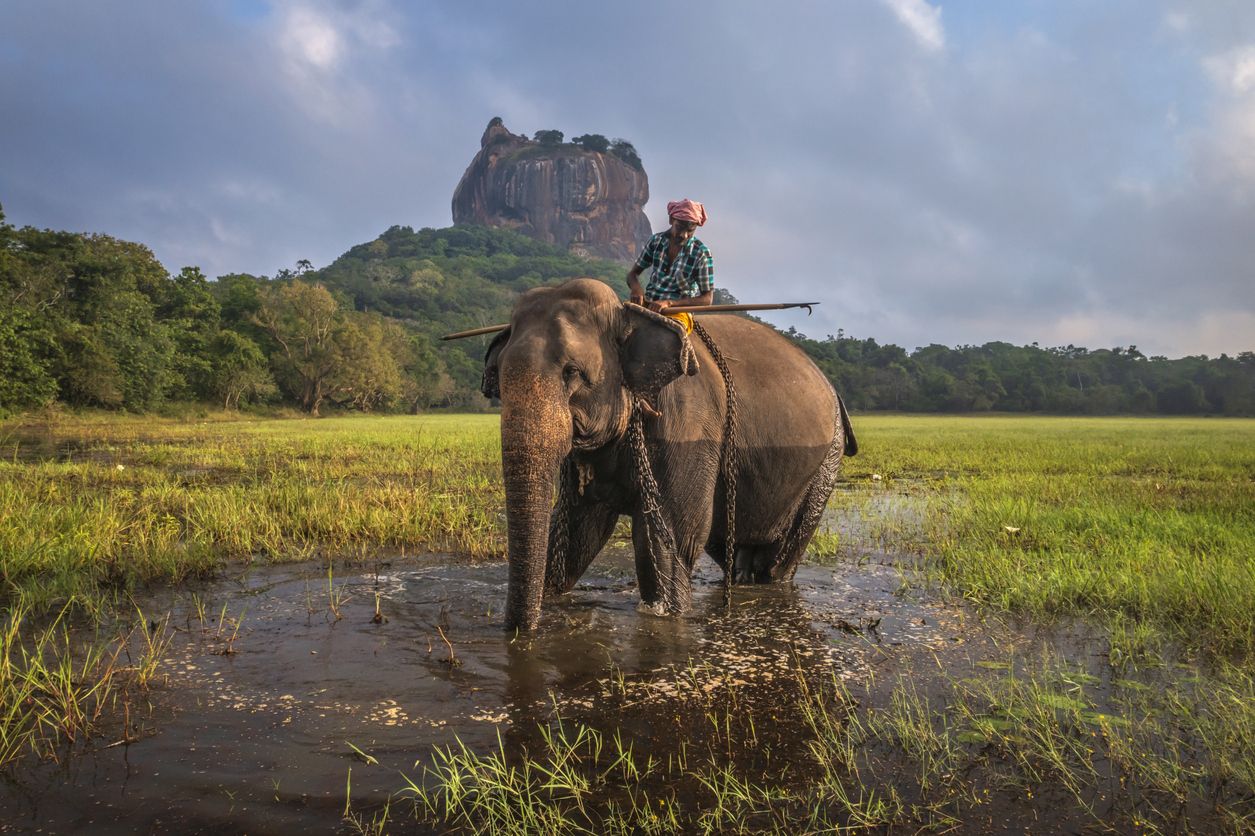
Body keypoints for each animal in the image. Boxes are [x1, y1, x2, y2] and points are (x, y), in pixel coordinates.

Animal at [481, 278, 857, 631]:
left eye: (572, 372)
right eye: (498, 375)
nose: (520, 631)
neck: (628, 316)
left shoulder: (687, 424)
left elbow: (668, 539)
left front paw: (666, 614)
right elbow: (578, 533)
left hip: (826, 462)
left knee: (777, 560)